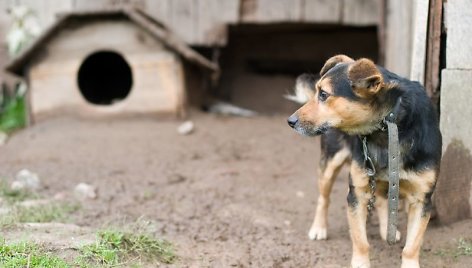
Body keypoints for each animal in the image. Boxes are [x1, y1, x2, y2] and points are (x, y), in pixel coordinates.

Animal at [288, 55, 442, 268]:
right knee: (323, 198)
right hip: (330, 164)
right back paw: (319, 228)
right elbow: (360, 240)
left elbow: (412, 246)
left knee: (383, 201)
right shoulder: (357, 193)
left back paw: (387, 229)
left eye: (324, 94)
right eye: (318, 92)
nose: (290, 121)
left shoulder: (421, 198)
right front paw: (361, 262)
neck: (388, 126)